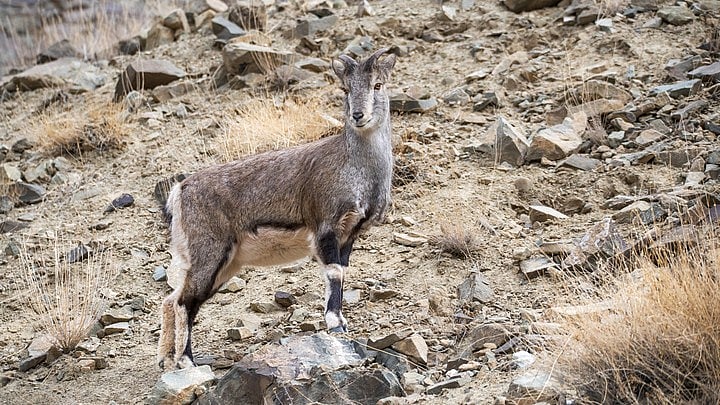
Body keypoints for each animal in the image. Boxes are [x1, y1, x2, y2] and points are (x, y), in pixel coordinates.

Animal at [157, 48, 397, 370]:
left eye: (377, 85)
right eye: (345, 89)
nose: (358, 115)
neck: (358, 169)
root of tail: (179, 193)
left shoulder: (349, 234)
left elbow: (342, 272)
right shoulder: (326, 228)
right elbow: (333, 273)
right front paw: (335, 325)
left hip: (225, 265)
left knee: (174, 299)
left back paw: (166, 360)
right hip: (210, 254)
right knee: (184, 302)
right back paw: (186, 361)